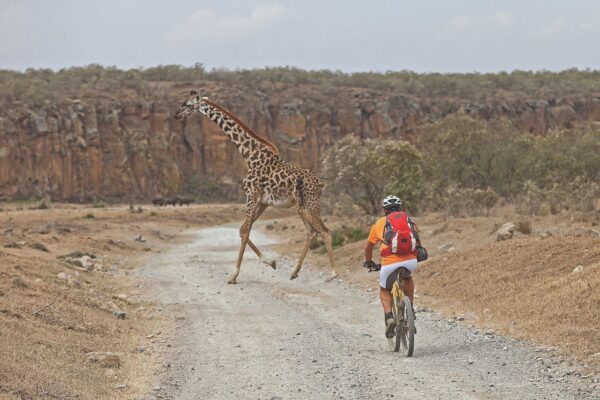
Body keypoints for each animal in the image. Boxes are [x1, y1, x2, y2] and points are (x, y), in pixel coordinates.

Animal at [176, 90, 340, 284]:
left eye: (187, 104)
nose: (176, 115)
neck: (249, 154)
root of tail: (321, 183)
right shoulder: (263, 201)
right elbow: (243, 230)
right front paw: (271, 262)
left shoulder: (251, 195)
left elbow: (245, 231)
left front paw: (234, 275)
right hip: (302, 207)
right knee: (312, 232)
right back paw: (294, 272)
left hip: (308, 206)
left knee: (325, 231)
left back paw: (333, 274)